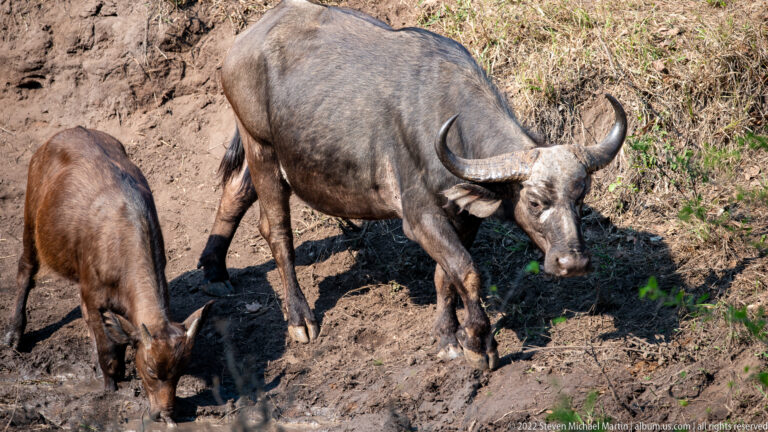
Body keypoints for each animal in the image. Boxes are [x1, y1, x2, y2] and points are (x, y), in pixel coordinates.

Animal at [2, 127, 213, 424]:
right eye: (151, 370)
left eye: (181, 371)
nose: (164, 413)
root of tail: (63, 134)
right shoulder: (95, 296)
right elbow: (108, 351)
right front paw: (110, 385)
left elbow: (115, 336)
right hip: (31, 218)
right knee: (26, 269)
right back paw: (14, 335)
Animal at [197, 0, 627, 370]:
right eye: (535, 202)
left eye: (581, 199)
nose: (574, 263)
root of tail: (244, 42)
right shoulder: (419, 217)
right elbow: (467, 271)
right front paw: (479, 343)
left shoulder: (464, 216)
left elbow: (445, 274)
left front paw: (448, 338)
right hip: (261, 147)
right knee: (277, 232)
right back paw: (300, 319)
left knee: (236, 189)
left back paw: (215, 271)